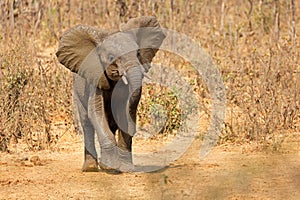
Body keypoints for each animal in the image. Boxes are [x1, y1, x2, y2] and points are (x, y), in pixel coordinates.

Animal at [56, 16, 166, 173]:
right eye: (111, 57)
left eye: (138, 54)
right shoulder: (95, 82)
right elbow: (96, 112)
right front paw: (109, 166)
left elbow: (126, 114)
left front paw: (126, 169)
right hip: (77, 96)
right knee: (87, 125)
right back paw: (91, 168)